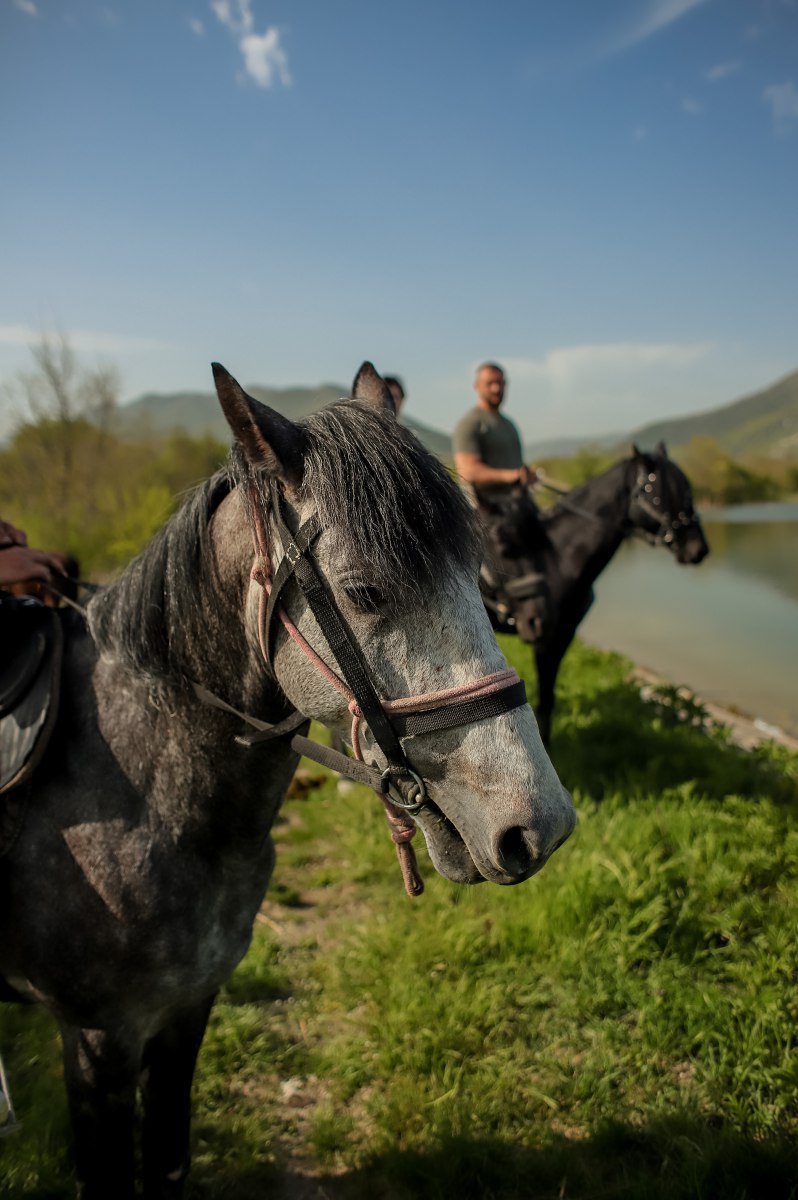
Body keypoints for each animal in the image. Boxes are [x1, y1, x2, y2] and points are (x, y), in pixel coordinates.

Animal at [0, 362, 573, 1200]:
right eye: (366, 592)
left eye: (476, 575)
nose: (541, 823)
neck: (149, 799)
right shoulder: (99, 1042)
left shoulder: (185, 1015)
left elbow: (166, 1159)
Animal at [475, 446, 705, 744]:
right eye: (664, 492)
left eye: (687, 490)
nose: (698, 548)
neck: (564, 560)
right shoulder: (546, 642)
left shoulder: (564, 634)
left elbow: (547, 699)